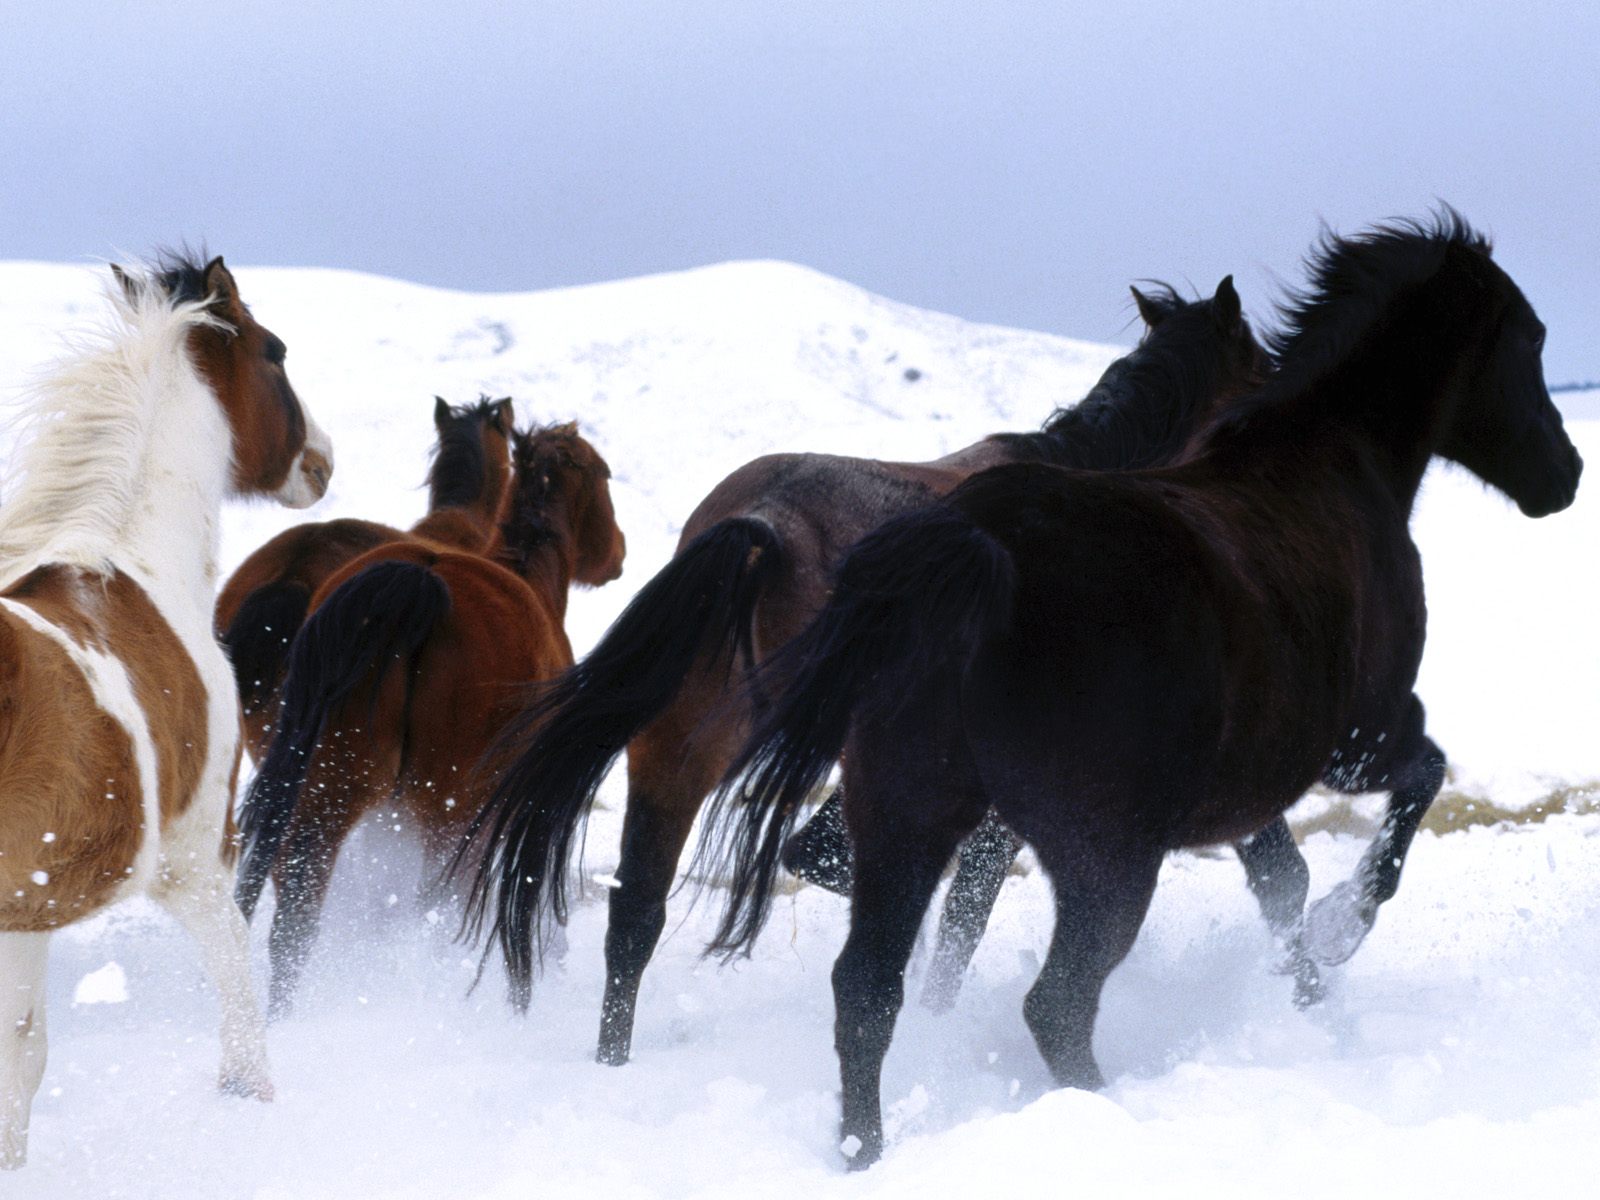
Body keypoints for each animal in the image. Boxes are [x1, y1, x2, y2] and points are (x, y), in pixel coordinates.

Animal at [0, 259, 331, 1171]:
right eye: (275, 351)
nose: (322, 461)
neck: (138, 566)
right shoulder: (192, 861)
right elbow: (238, 994)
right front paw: (250, 1099)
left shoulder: (33, 903)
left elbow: (23, 1053)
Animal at [236, 422, 624, 1017]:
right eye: (603, 473)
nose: (618, 551)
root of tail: (418, 583)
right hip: (444, 813)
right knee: (430, 914)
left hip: (327, 795)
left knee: (297, 914)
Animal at [707, 211, 1580, 1171]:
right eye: (1532, 340)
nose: (1567, 473)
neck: (1331, 465)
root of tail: (977, 550)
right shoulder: (1358, 740)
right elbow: (1412, 790)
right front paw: (1339, 933)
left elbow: (1286, 879)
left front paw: (1312, 989)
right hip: (1104, 861)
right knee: (1054, 1004)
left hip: (910, 817)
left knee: (868, 989)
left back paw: (865, 1151)